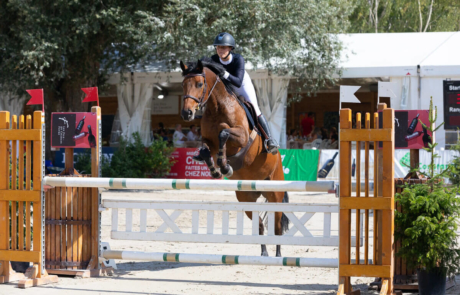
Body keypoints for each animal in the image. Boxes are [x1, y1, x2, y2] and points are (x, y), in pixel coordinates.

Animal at [179, 59, 288, 258]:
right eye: (183, 84)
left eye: (199, 84)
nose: (187, 114)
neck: (217, 108)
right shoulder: (207, 141)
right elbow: (206, 150)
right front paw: (217, 170)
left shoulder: (242, 136)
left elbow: (223, 133)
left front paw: (224, 166)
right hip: (246, 198)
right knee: (259, 225)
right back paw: (264, 253)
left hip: (275, 193)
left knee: (277, 226)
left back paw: (277, 255)